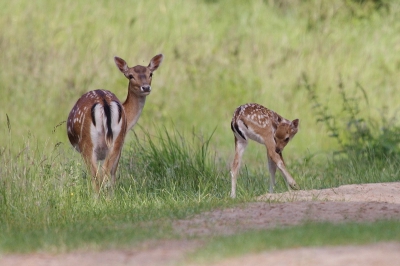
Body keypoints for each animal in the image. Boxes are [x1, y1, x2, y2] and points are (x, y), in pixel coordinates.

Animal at [67, 54, 164, 191]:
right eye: (130, 76)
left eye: (151, 74)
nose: (145, 87)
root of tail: (103, 102)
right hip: (116, 140)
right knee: (105, 172)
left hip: (86, 142)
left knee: (98, 174)